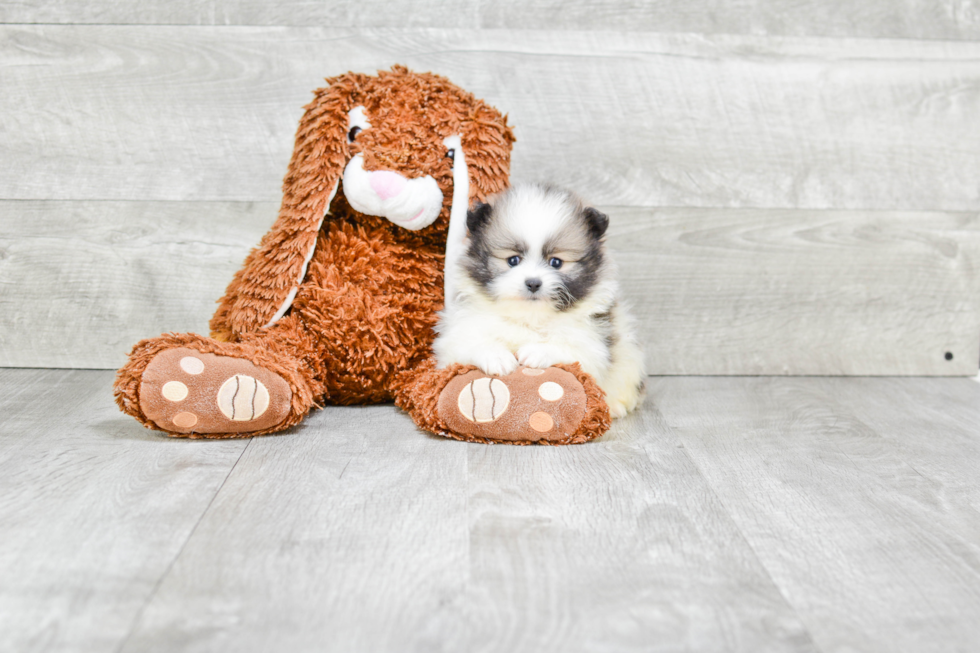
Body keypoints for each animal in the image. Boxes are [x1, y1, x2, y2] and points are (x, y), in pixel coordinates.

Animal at [434, 181, 648, 420]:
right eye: (513, 260)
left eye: (556, 262)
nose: (533, 283)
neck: (530, 318)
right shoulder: (456, 337)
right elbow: (467, 344)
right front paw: (496, 356)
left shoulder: (594, 345)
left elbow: (572, 351)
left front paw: (538, 351)